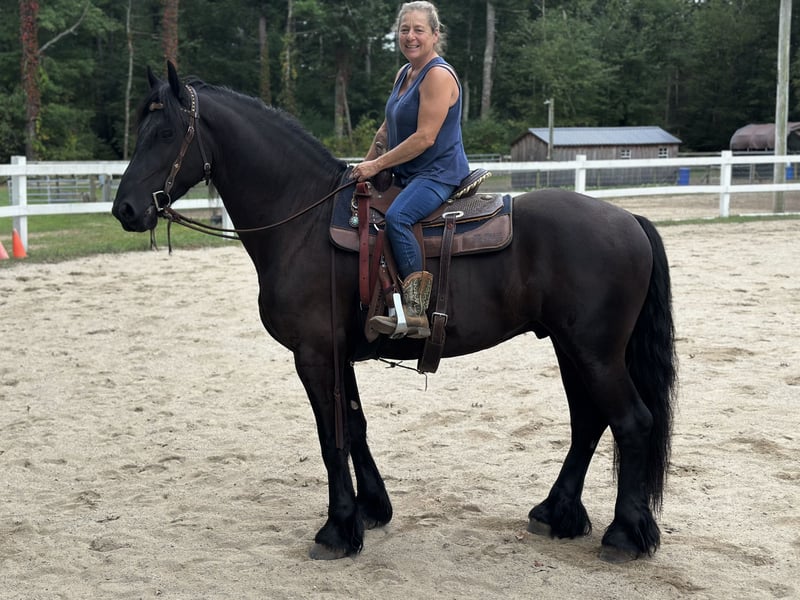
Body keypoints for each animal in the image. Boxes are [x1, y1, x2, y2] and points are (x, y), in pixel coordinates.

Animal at [112, 62, 677, 563]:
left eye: (165, 132)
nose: (125, 209)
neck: (302, 221)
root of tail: (629, 218)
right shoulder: (338, 353)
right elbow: (354, 427)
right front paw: (370, 510)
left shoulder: (314, 355)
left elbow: (331, 437)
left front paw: (337, 530)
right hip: (570, 347)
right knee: (588, 422)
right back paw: (557, 514)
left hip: (594, 352)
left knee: (632, 421)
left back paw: (624, 536)